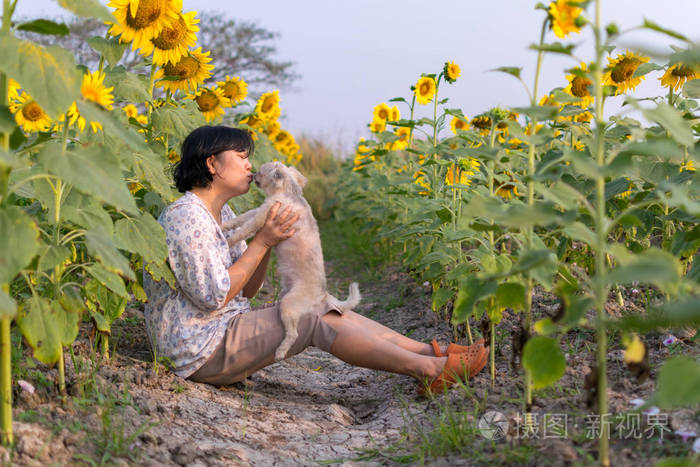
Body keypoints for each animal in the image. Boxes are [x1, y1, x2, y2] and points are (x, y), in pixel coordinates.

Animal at [221, 162, 360, 362]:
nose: (253, 174)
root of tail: (323, 295)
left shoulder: (261, 217)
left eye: (260, 173)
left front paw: (229, 240)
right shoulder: (260, 211)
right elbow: (241, 218)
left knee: (293, 334)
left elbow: (243, 230)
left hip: (289, 306)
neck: (289, 192)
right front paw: (224, 226)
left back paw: (280, 351)